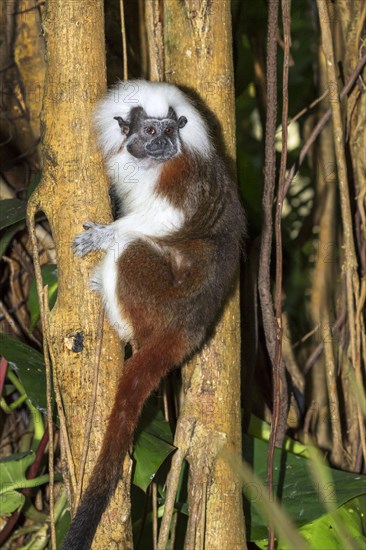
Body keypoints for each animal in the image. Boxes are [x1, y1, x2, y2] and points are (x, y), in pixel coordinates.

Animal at [63, 82, 246, 550]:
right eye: (149, 130)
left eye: (169, 130)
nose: (163, 143)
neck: (148, 165)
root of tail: (190, 323)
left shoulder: (181, 174)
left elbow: (170, 218)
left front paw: (105, 235)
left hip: (161, 298)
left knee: (132, 251)